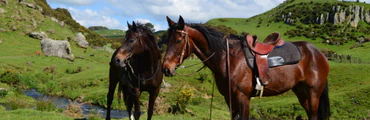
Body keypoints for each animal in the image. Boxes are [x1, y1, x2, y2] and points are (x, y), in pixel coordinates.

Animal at [162, 15, 330, 119]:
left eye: (178, 40)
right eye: (167, 39)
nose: (166, 69)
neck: (229, 59)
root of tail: (318, 54)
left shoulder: (243, 98)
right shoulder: (229, 98)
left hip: (313, 93)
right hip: (302, 93)